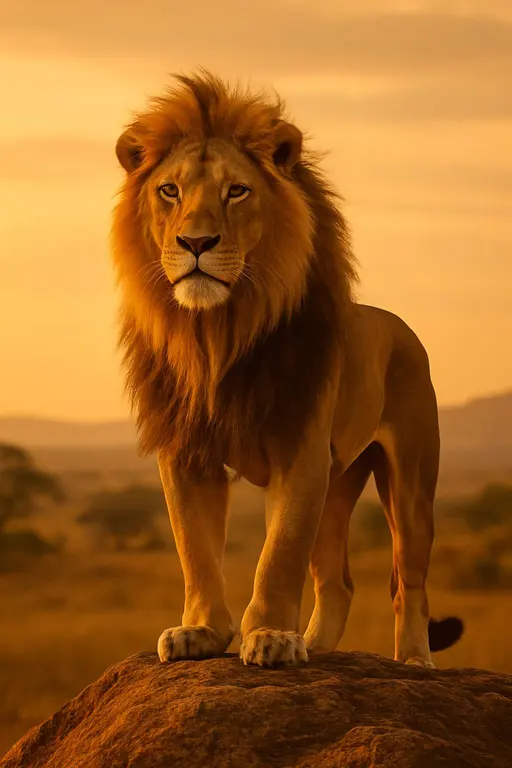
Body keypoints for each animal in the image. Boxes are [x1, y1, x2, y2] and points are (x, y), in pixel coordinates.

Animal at [111, 70, 463, 668]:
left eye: (236, 191)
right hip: (338, 483)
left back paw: (415, 659)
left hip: (411, 482)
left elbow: (279, 555)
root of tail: (398, 324)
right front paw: (200, 631)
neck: (217, 334)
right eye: (170, 191)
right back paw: (317, 647)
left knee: (408, 581)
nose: (196, 242)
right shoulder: (185, 454)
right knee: (337, 583)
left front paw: (273, 636)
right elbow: (195, 549)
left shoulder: (300, 450)